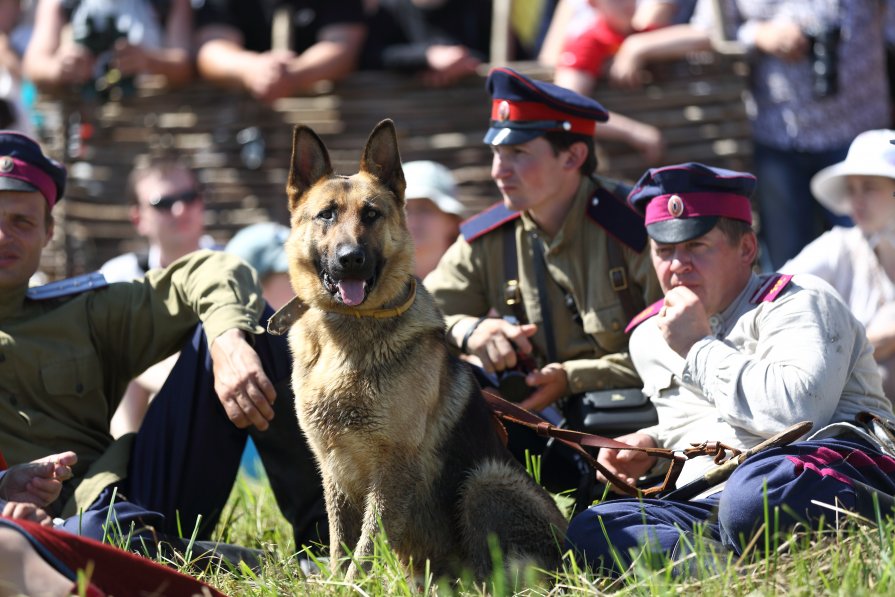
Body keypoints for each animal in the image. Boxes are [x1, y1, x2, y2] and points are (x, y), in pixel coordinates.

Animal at [272, 118, 568, 580]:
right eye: (327, 215)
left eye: (371, 215)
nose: (350, 258)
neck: (349, 335)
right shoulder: (334, 470)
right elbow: (341, 543)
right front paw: (336, 582)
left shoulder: (393, 468)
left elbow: (366, 545)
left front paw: (353, 585)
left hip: (484, 480)